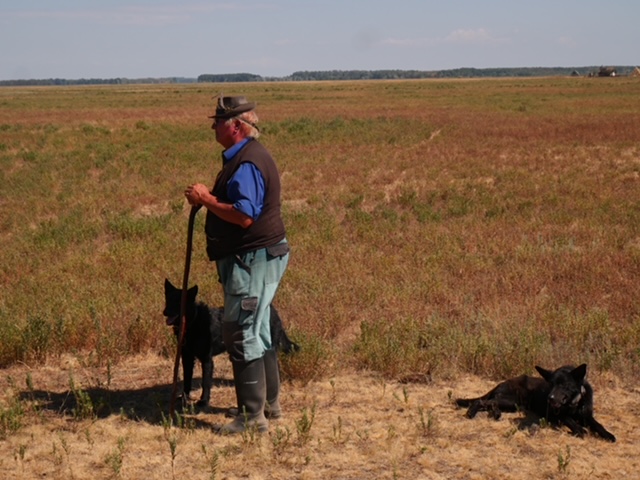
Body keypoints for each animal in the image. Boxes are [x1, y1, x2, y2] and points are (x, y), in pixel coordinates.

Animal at [162, 280, 298, 406]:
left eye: (179, 302)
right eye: (168, 299)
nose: (165, 312)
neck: (193, 321)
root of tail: (272, 309)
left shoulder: (207, 360)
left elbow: (205, 382)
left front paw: (204, 401)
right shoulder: (187, 358)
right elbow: (186, 380)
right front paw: (184, 399)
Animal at [456, 364, 616, 442]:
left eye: (563, 385)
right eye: (551, 384)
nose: (550, 398)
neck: (574, 404)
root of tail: (503, 382)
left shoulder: (587, 416)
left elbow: (598, 424)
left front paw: (608, 435)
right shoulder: (557, 414)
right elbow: (569, 420)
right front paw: (580, 430)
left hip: (511, 405)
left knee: (490, 403)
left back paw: (496, 414)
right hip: (511, 400)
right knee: (481, 401)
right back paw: (471, 412)